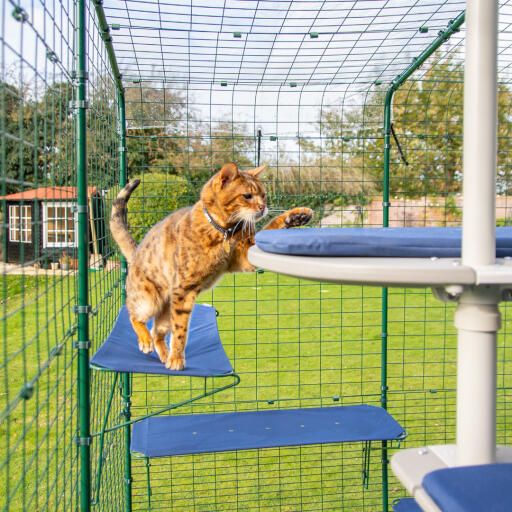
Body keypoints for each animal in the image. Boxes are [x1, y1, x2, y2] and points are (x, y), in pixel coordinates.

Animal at [109, 162, 312, 370]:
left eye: (263, 195)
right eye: (247, 195)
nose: (263, 207)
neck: (225, 231)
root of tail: (136, 252)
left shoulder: (246, 256)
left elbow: (271, 226)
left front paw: (296, 216)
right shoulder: (184, 290)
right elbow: (180, 331)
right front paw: (177, 359)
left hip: (165, 313)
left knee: (157, 332)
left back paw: (164, 355)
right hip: (148, 301)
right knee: (133, 314)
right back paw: (146, 342)